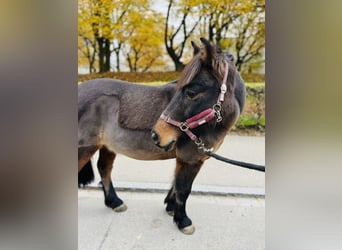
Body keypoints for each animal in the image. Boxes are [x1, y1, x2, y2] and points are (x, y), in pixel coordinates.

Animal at [78, 37, 244, 234]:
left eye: (191, 92)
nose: (156, 135)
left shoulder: (185, 158)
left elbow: (175, 185)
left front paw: (171, 208)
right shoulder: (190, 159)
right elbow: (183, 189)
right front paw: (183, 220)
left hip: (108, 146)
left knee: (104, 168)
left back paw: (114, 202)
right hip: (85, 148)